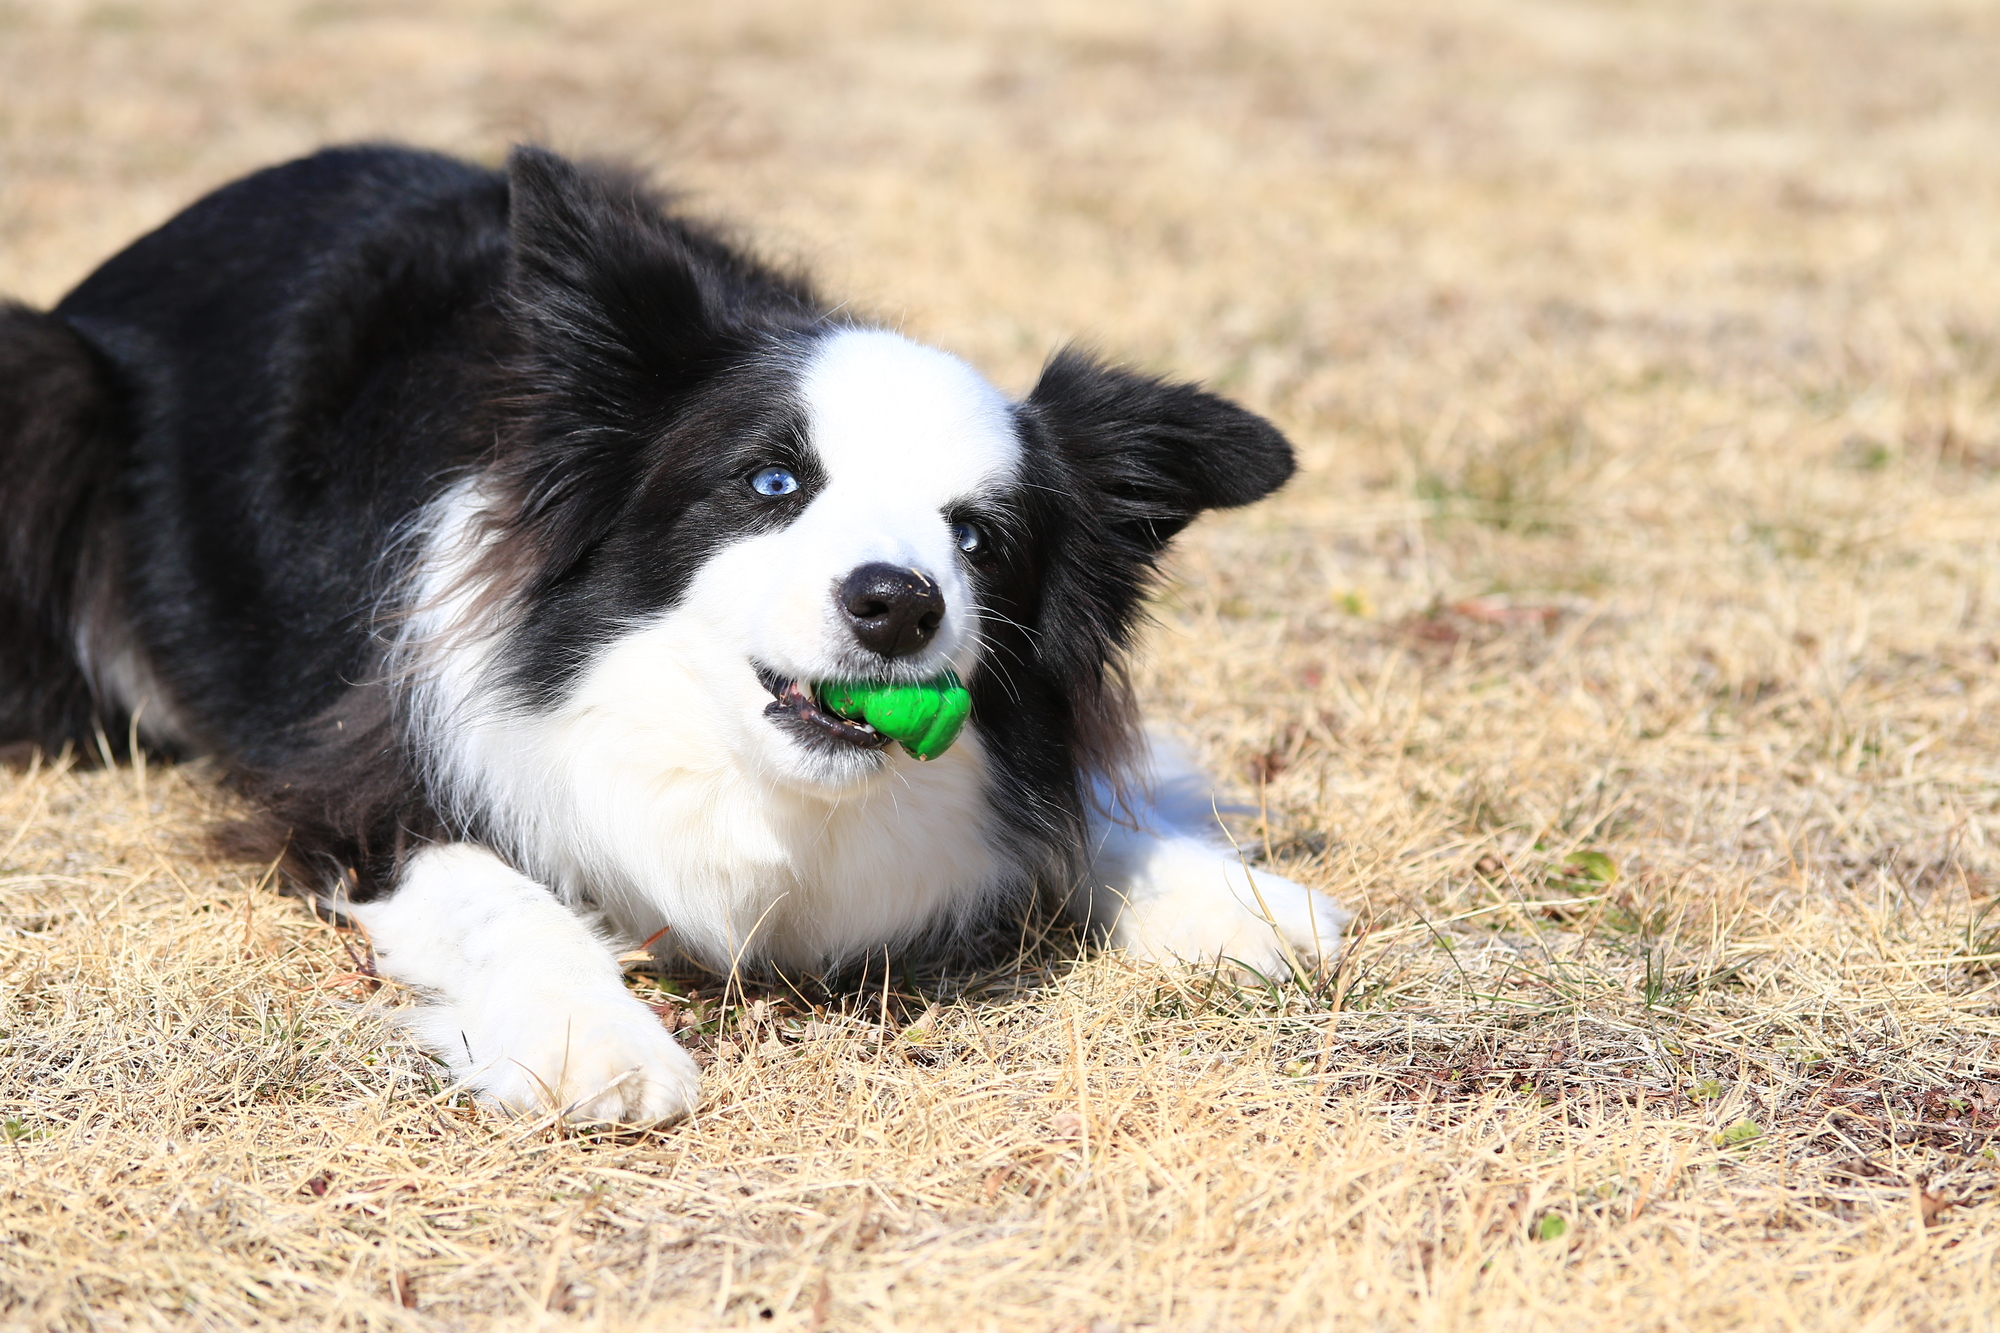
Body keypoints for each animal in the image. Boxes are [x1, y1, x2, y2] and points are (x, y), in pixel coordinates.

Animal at [3, 148, 1344, 1120]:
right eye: (770, 481)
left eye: (977, 538)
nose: (897, 603)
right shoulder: (351, 773)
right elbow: (492, 885)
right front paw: (590, 1040)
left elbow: (1079, 804)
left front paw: (1231, 897)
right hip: (48, 402)